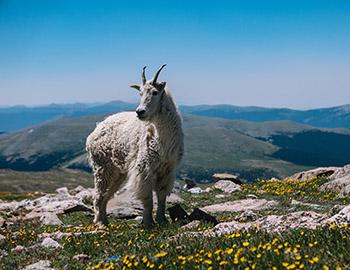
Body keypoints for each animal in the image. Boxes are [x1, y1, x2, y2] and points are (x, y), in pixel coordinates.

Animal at [86, 65, 185, 228]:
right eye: (140, 93)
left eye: (155, 92)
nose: (140, 112)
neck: (161, 138)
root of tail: (95, 130)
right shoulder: (144, 167)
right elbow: (148, 198)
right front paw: (149, 223)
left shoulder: (168, 169)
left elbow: (162, 196)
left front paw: (162, 221)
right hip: (102, 167)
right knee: (99, 195)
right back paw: (99, 223)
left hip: (118, 173)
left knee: (106, 195)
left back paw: (105, 222)